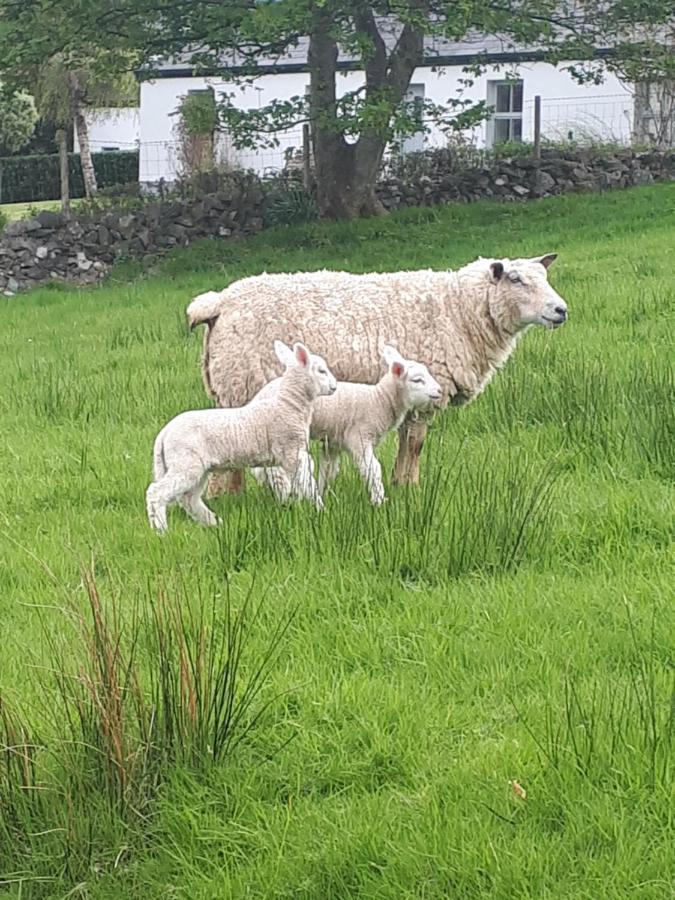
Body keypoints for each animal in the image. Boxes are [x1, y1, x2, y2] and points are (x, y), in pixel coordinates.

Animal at [148, 342, 338, 532]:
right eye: (322, 371)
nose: (334, 387)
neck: (288, 405)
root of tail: (164, 434)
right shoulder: (292, 451)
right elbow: (308, 483)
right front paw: (321, 510)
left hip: (195, 467)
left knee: (189, 498)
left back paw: (214, 522)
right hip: (185, 462)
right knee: (156, 493)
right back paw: (161, 530)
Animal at [254, 344, 444, 506]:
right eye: (417, 380)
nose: (440, 391)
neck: (379, 400)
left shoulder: (333, 442)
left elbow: (328, 471)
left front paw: (323, 494)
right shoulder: (359, 437)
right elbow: (373, 469)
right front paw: (379, 501)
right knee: (275, 470)